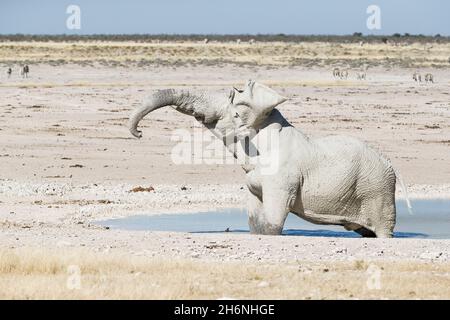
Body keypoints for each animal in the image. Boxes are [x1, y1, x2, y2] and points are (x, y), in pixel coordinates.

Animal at [129, 80, 412, 238]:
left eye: (235, 111)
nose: (139, 133)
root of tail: (392, 167)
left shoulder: (282, 178)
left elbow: (274, 222)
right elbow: (256, 219)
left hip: (377, 190)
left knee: (382, 230)